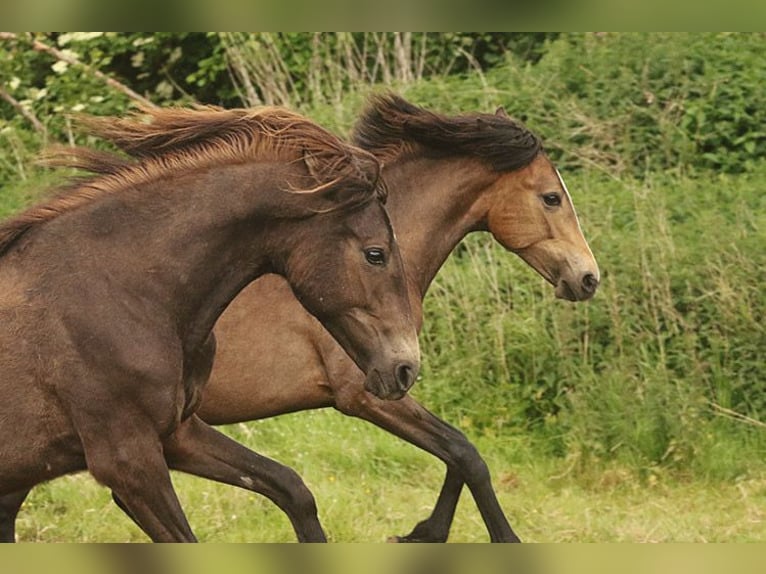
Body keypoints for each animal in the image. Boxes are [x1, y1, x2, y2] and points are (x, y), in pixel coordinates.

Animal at [0, 104, 420, 542]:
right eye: (376, 254)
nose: (405, 368)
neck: (121, 292)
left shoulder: (178, 434)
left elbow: (292, 488)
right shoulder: (127, 462)